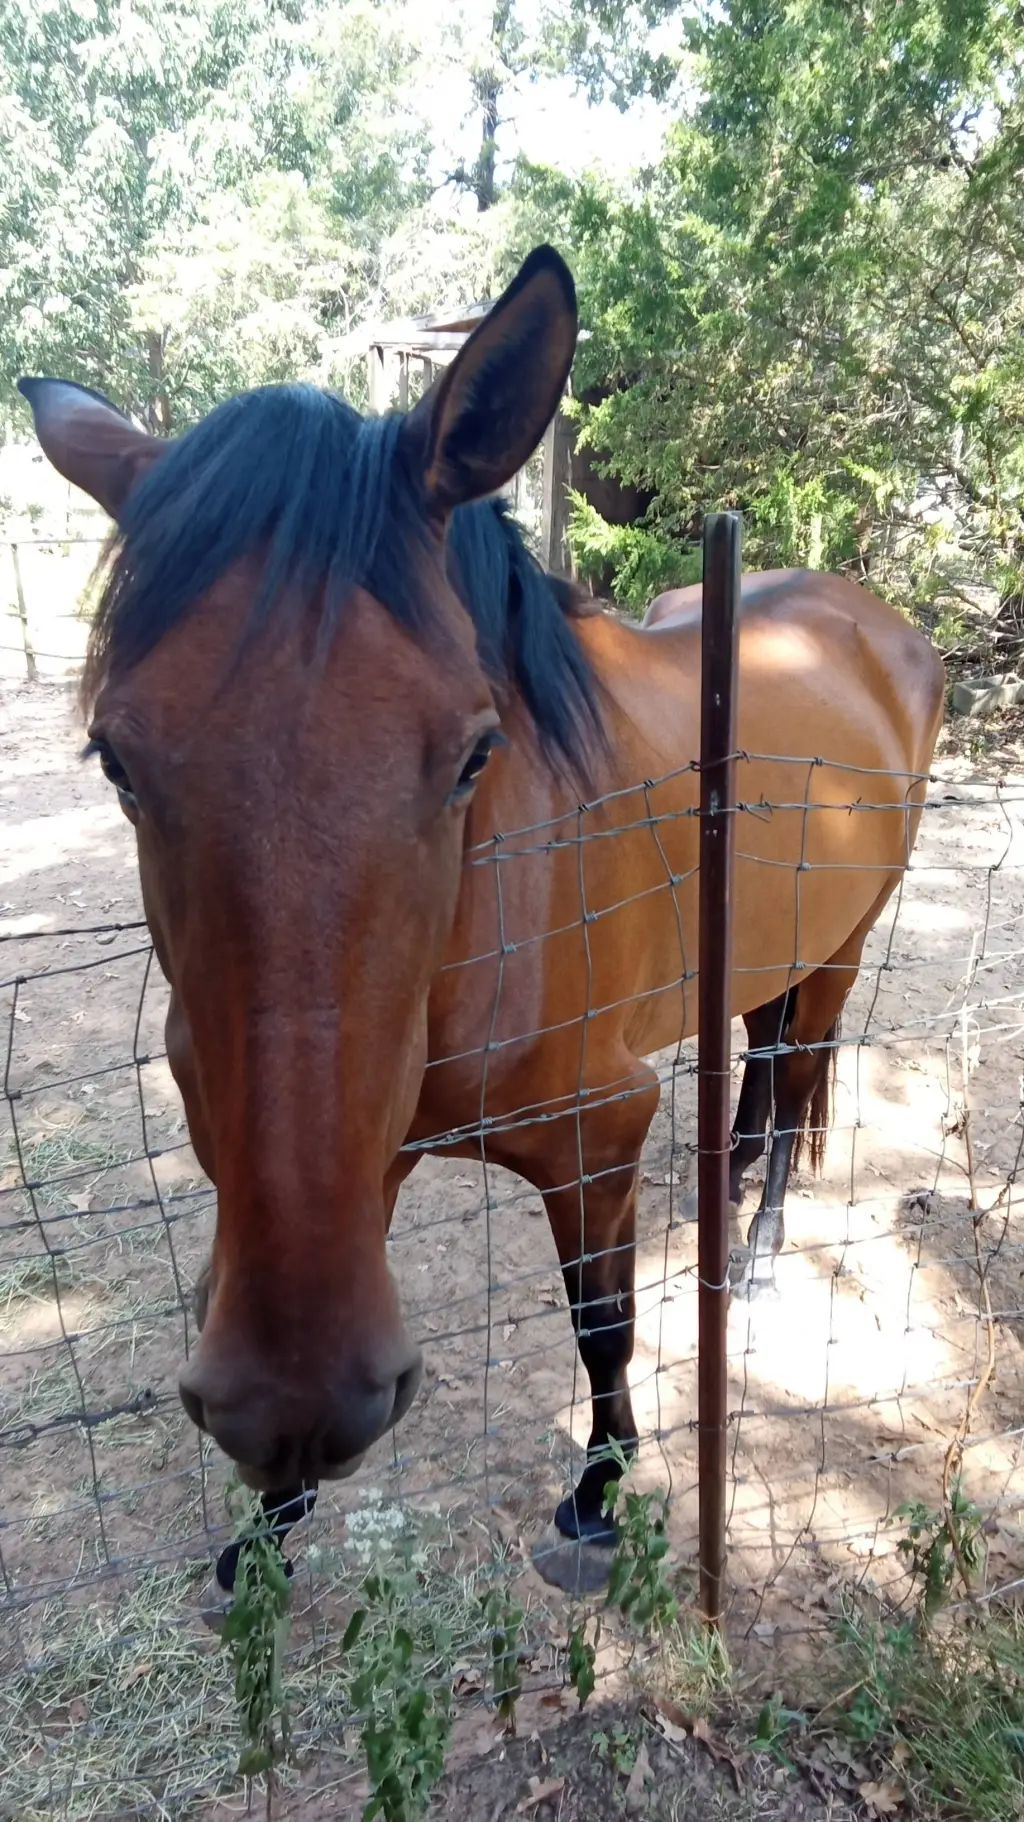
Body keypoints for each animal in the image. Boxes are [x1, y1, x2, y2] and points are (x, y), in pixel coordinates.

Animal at [19, 246, 945, 1593]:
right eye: (117, 761)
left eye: (472, 752)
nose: (291, 1404)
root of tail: (872, 620)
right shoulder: (345, 1159)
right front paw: (269, 1523)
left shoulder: (598, 1132)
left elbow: (600, 1320)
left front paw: (601, 1490)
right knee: (756, 1071)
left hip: (836, 954)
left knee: (790, 1082)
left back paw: (761, 1252)